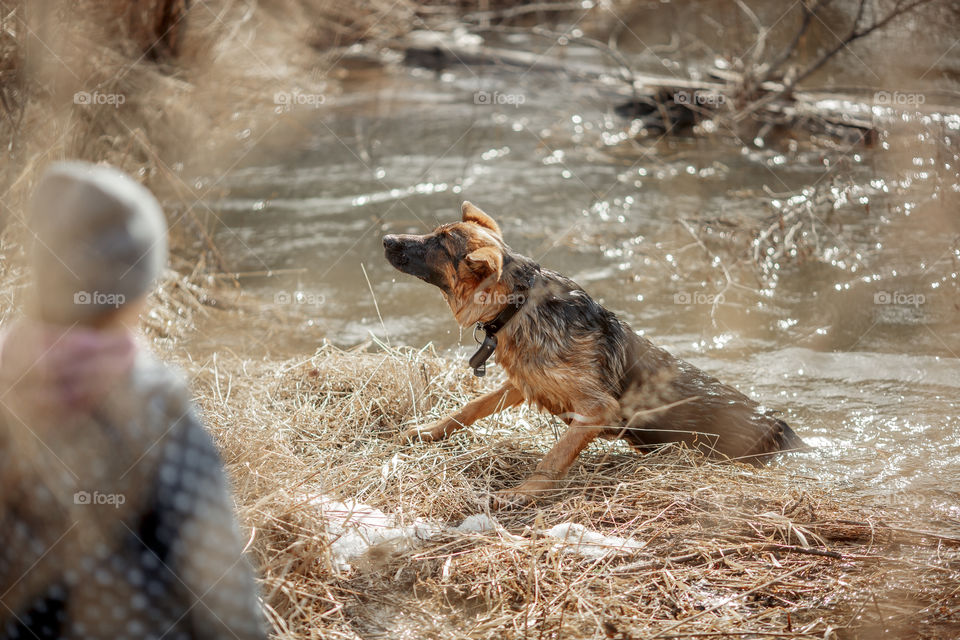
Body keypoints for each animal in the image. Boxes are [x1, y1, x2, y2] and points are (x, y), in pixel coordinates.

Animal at [378, 204, 808, 504]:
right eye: (433, 233)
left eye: (439, 243)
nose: (385, 239)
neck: (518, 305)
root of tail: (786, 432)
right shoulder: (525, 381)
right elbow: (470, 408)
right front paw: (429, 431)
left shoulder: (597, 409)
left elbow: (553, 457)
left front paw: (524, 492)